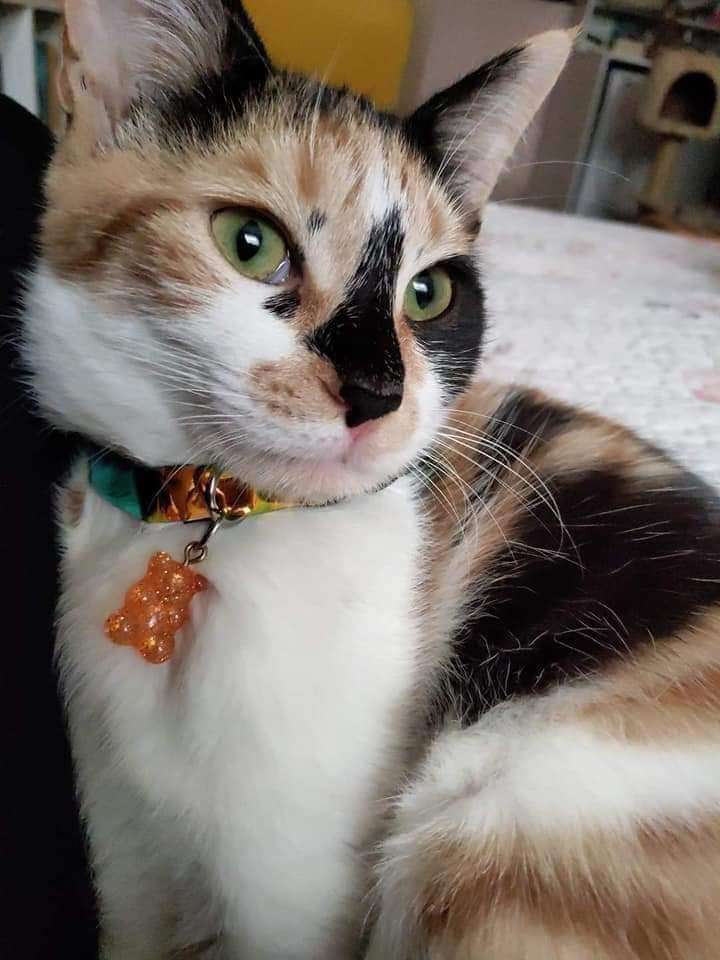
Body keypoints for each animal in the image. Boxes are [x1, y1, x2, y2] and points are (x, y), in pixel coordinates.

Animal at [21, 2, 720, 958]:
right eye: (250, 243)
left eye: (429, 293)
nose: (379, 392)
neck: (213, 520)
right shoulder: (123, 853)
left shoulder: (292, 894)